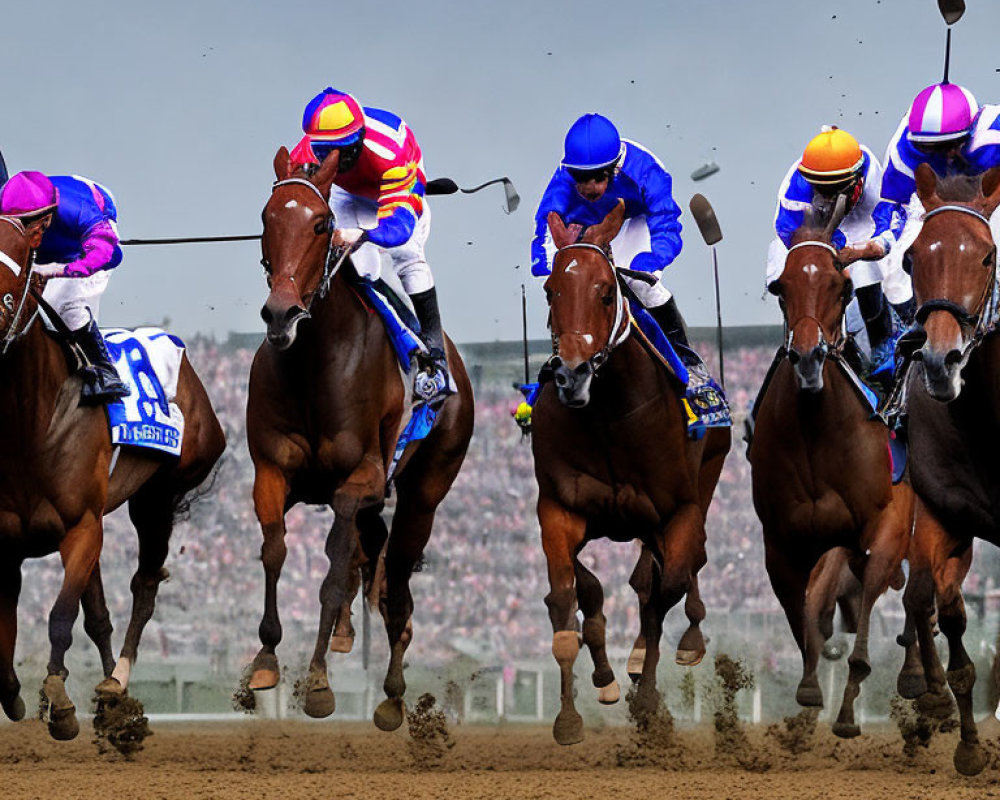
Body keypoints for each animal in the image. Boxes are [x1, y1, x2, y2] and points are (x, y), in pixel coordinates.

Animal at [0, 214, 223, 736]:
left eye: (14, 269)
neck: (33, 418)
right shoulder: (10, 540)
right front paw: (16, 695)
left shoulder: (81, 527)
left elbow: (60, 616)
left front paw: (59, 704)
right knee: (100, 614)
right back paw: (111, 700)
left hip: (157, 499)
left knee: (143, 587)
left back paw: (116, 682)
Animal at [245, 147, 472, 728]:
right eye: (266, 219)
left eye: (322, 224)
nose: (280, 312)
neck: (313, 361)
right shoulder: (272, 473)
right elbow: (276, 551)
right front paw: (266, 659)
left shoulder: (362, 477)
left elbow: (332, 573)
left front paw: (319, 683)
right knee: (372, 557)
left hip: (423, 494)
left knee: (397, 582)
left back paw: (391, 693)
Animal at [532, 200, 728, 744]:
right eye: (550, 290)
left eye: (604, 291)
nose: (571, 374)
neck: (608, 414)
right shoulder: (558, 511)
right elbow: (567, 600)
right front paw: (571, 715)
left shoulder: (676, 511)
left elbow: (664, 595)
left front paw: (648, 699)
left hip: (702, 486)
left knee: (676, 574)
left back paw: (682, 643)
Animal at [752, 206, 916, 736]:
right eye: (780, 287)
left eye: (841, 287)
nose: (808, 358)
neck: (815, 433)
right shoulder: (785, 542)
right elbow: (802, 615)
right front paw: (808, 690)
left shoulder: (884, 529)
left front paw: (847, 707)